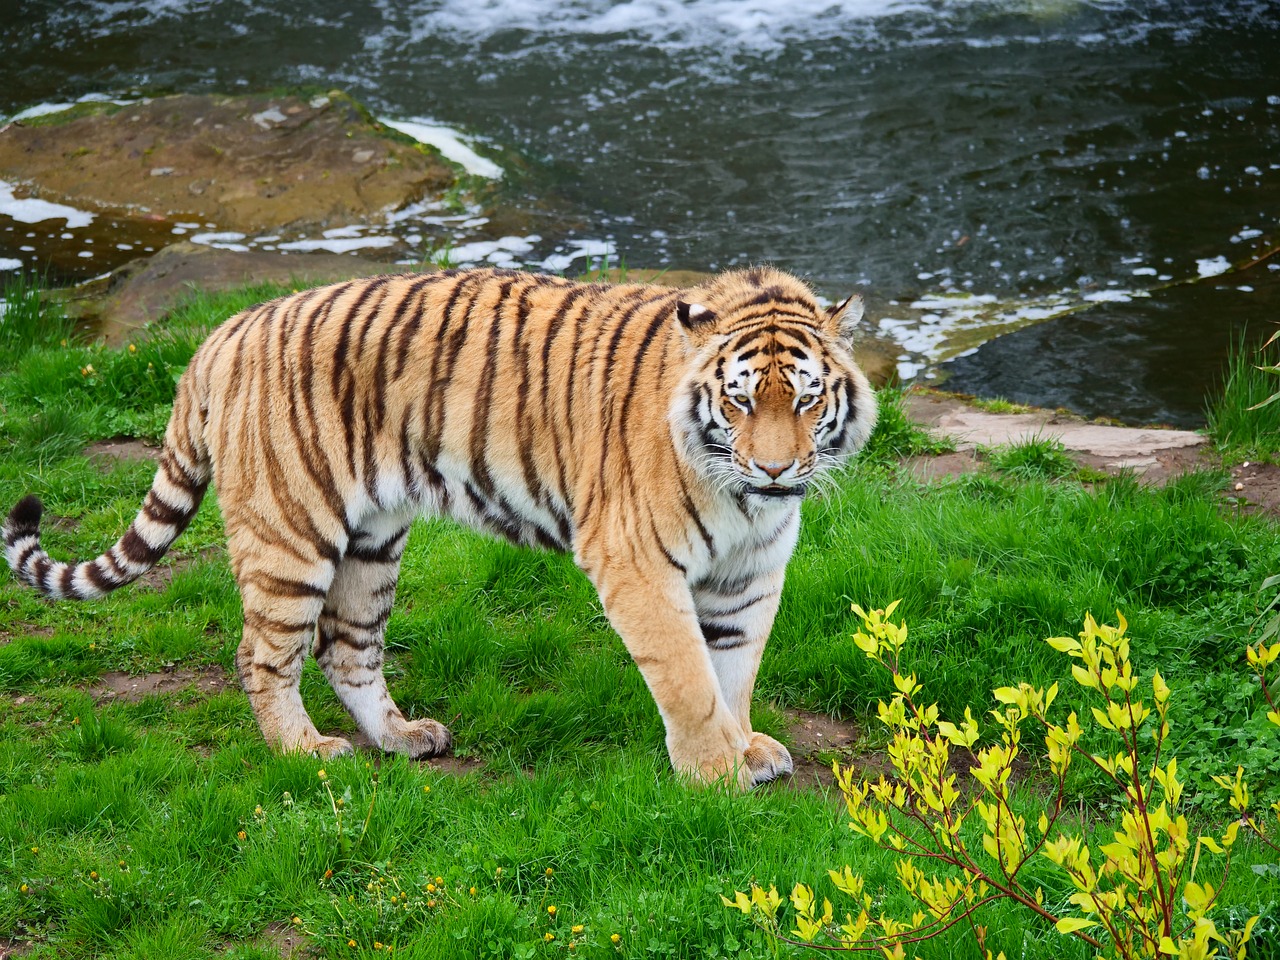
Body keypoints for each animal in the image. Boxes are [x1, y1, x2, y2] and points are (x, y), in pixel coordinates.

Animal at [0, 264, 875, 788]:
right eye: (738, 400)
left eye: (805, 399)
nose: (774, 470)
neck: (746, 501)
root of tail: (228, 327)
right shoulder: (638, 565)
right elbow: (690, 679)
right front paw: (714, 775)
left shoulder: (750, 575)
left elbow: (735, 671)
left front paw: (746, 746)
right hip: (291, 532)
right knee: (264, 653)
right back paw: (307, 753)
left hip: (372, 539)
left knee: (346, 647)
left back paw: (400, 738)